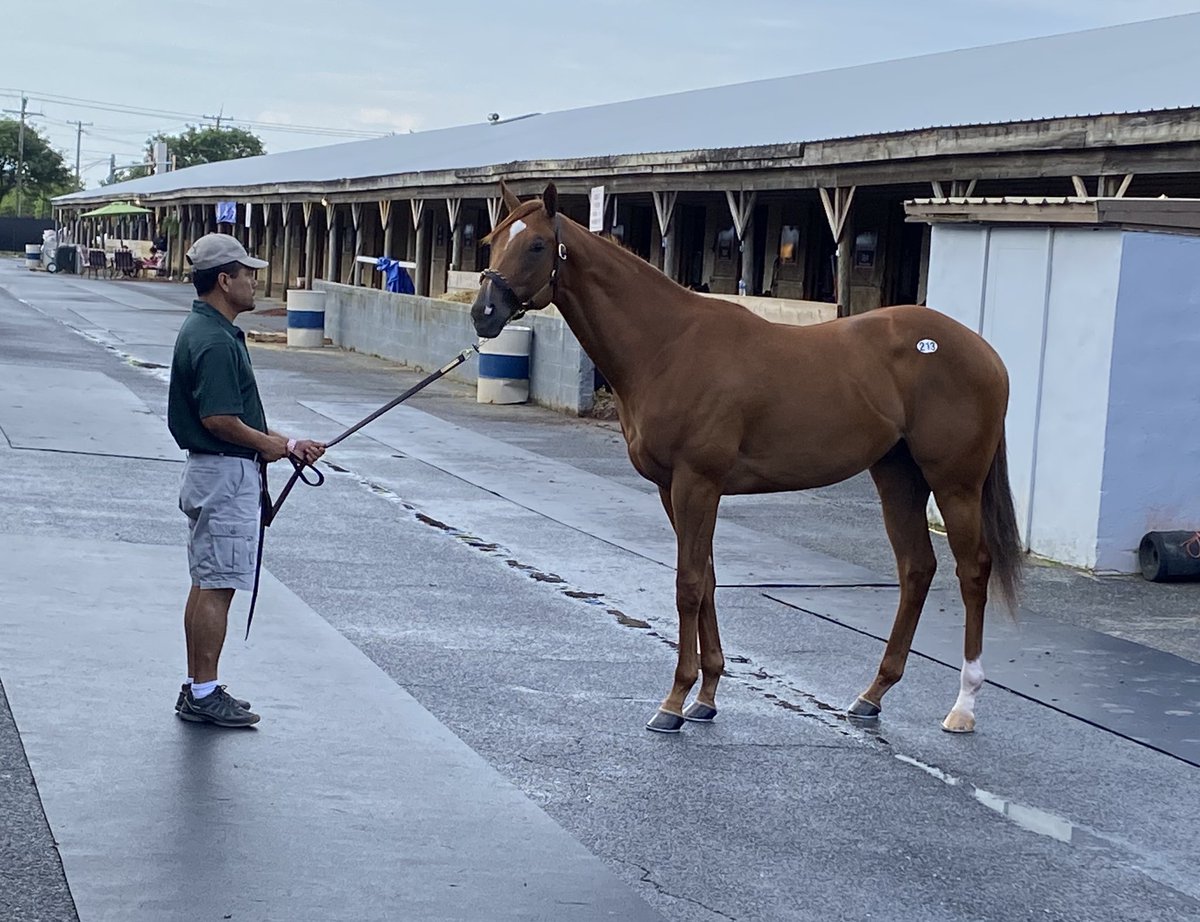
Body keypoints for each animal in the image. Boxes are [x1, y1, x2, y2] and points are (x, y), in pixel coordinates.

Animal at [471, 182, 1022, 735]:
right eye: (492, 241)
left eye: (537, 245)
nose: (483, 313)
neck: (667, 345)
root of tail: (986, 353)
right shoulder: (674, 489)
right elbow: (708, 579)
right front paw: (706, 696)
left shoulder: (697, 482)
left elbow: (689, 584)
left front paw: (673, 702)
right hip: (897, 475)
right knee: (916, 568)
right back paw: (872, 695)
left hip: (954, 483)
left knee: (972, 571)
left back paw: (963, 706)